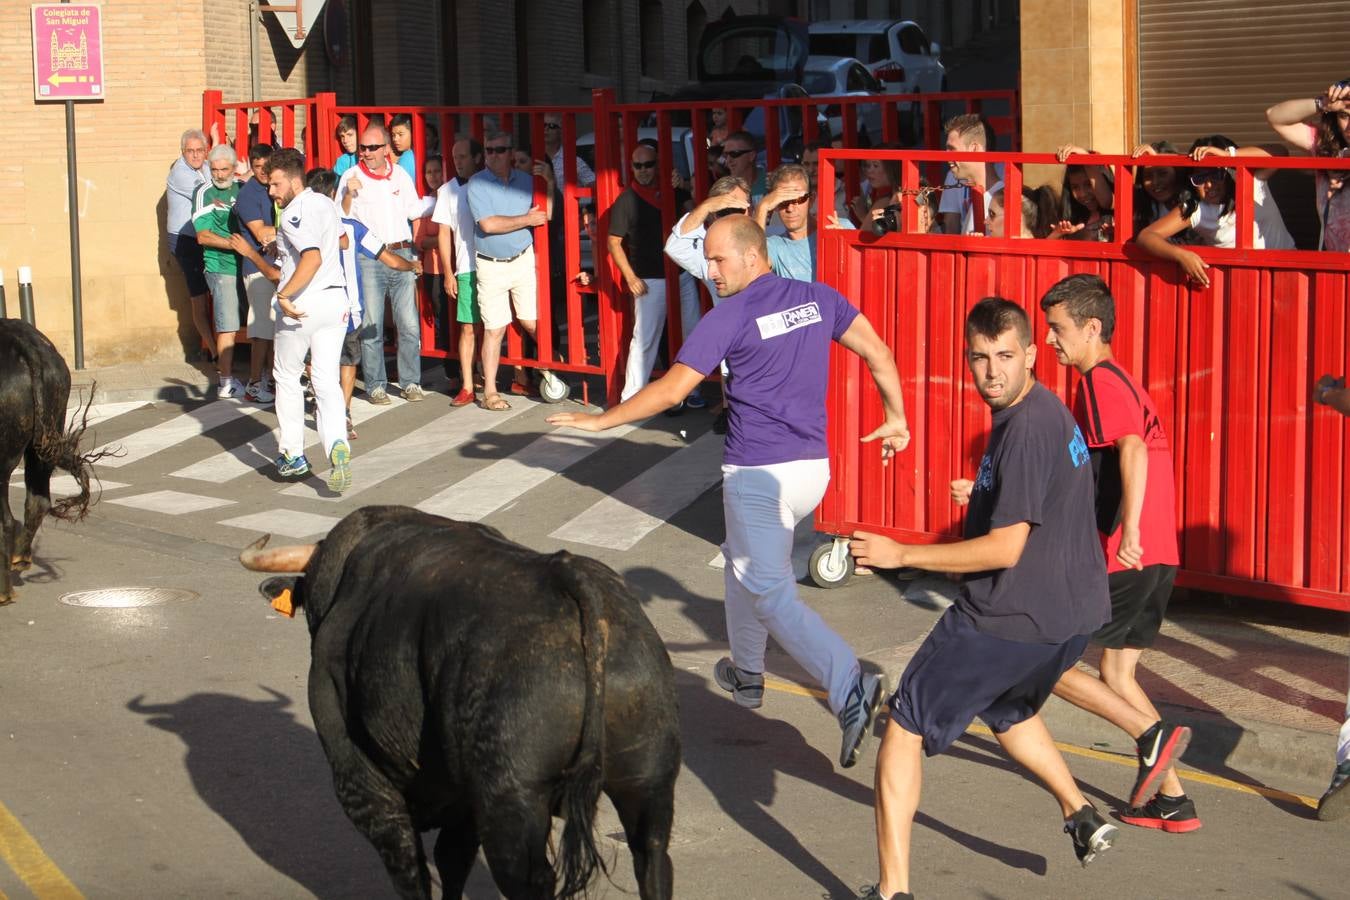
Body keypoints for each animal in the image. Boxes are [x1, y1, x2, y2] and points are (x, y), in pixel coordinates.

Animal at [240, 507, 685, 900]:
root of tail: (569, 579)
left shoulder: (361, 781)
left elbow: (411, 868)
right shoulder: (462, 801)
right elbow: (452, 860)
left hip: (511, 805)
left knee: (531, 881)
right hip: (649, 780)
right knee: (652, 858)